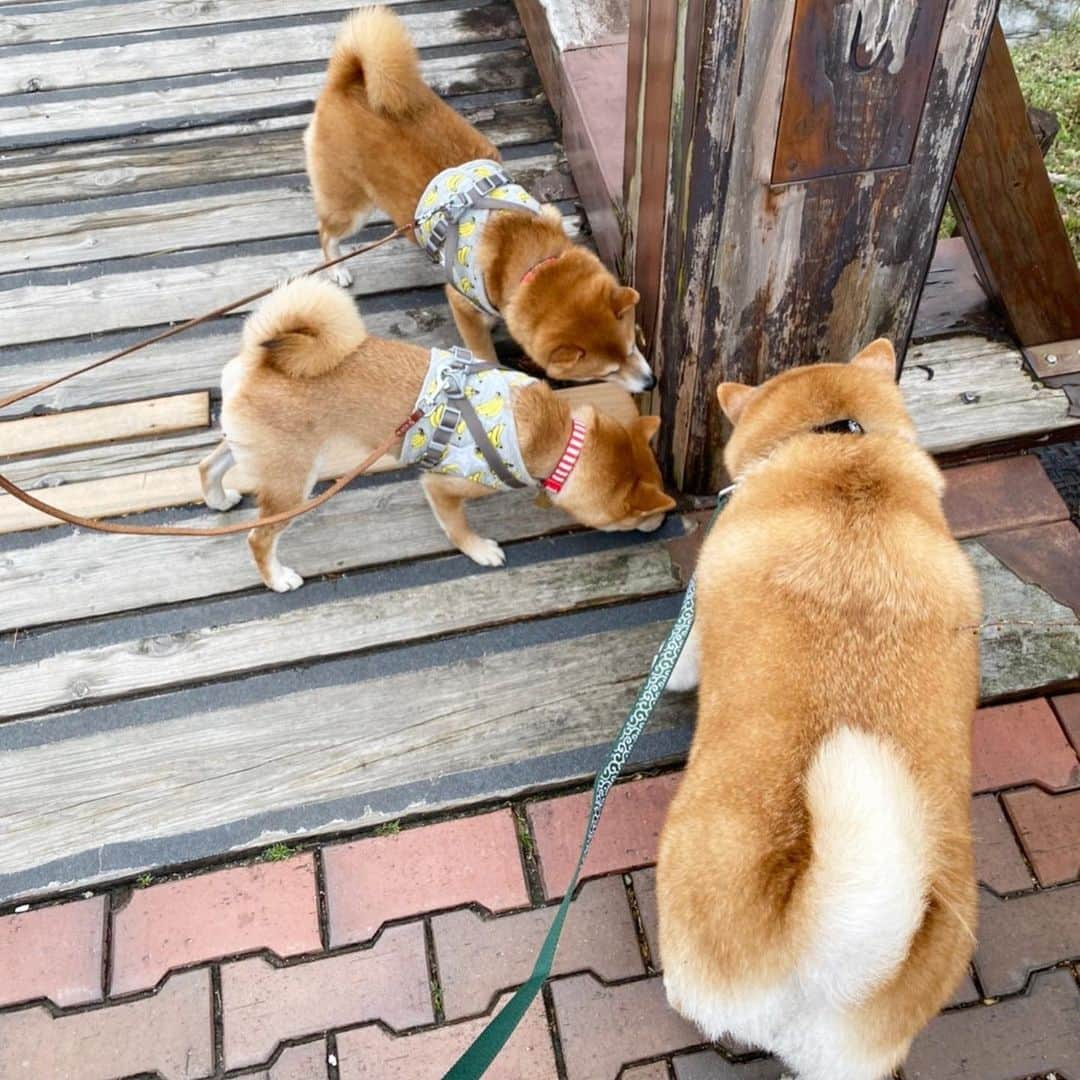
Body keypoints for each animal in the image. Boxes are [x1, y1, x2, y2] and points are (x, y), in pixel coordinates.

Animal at [200, 278, 673, 591]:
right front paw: (479, 549)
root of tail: (258, 359)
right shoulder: (443, 487)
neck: (553, 435)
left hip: (258, 453)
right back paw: (277, 577)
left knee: (209, 464)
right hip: (292, 483)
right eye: (638, 514)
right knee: (259, 537)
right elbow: (457, 526)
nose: (663, 522)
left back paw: (218, 498)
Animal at [304, 5, 656, 393]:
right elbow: (483, 352)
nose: (651, 382)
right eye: (607, 372)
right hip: (350, 207)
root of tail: (348, 80)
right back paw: (337, 270)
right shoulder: (463, 304)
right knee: (325, 232)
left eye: (633, 347)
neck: (531, 257)